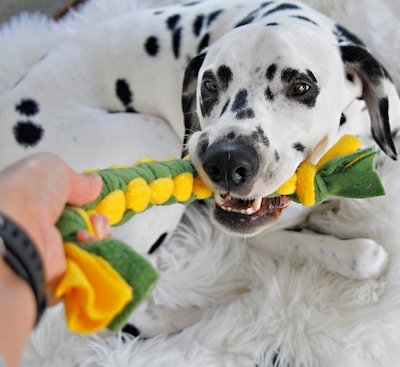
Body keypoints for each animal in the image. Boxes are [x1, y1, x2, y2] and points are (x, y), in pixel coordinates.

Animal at [0, 0, 398, 338]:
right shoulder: (261, 235)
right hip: (155, 134)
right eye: (209, 84)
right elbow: (366, 256)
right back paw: (210, 312)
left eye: (301, 86)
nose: (226, 160)